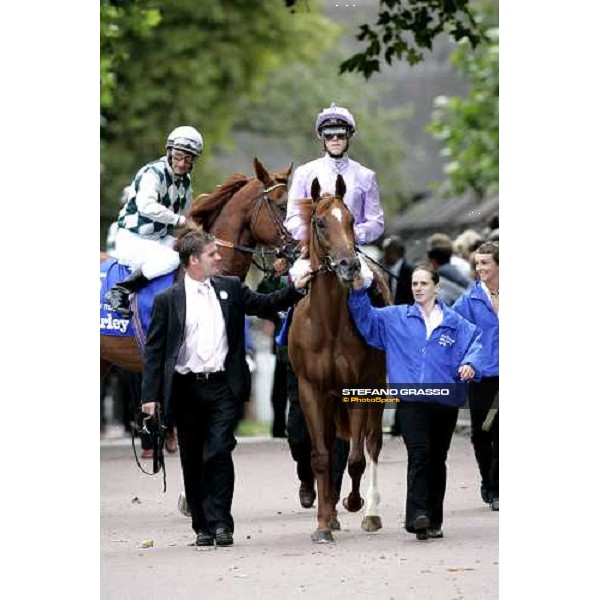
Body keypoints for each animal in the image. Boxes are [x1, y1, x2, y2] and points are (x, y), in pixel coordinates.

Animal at [288, 175, 390, 544]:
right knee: (333, 448)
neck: (329, 325)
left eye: (350, 220)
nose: (349, 265)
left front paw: (354, 503)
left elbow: (357, 457)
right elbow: (321, 456)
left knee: (372, 444)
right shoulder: (311, 390)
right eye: (320, 222)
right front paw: (323, 523)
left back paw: (370, 511)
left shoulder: (357, 387)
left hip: (377, 387)